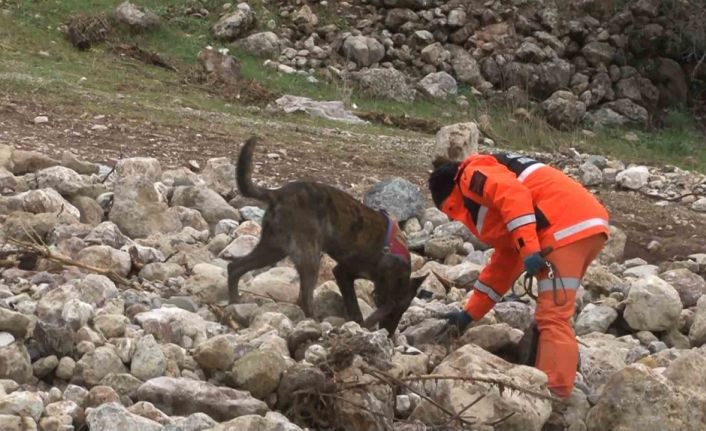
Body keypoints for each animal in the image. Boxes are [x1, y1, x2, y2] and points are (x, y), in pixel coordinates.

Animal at [227, 137, 424, 336]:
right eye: (396, 311)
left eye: (403, 310)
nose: (389, 334)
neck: (391, 254)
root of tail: (278, 193)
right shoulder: (344, 272)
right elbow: (355, 307)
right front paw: (360, 325)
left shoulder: (345, 274)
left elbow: (354, 308)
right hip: (309, 257)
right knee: (303, 298)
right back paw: (315, 324)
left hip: (273, 249)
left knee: (234, 266)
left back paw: (234, 301)